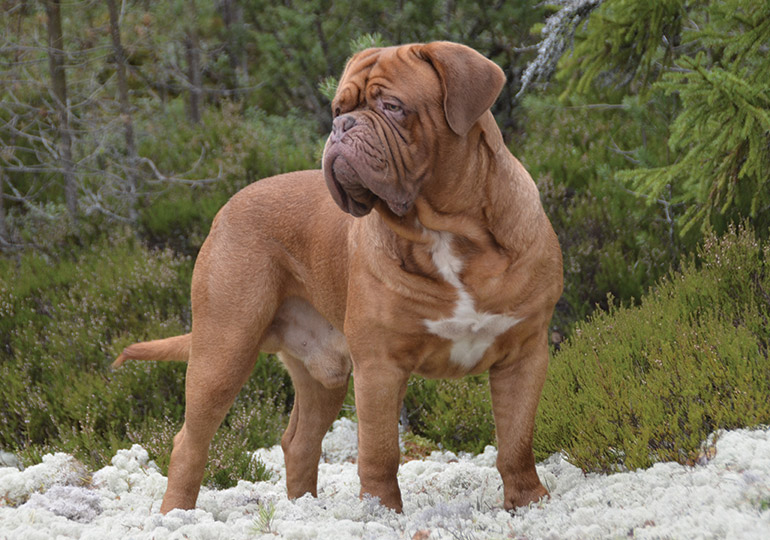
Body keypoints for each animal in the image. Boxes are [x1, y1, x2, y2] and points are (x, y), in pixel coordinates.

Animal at [114, 40, 560, 512]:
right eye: (338, 108)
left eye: (393, 106)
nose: (341, 126)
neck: (449, 234)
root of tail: (226, 208)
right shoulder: (379, 365)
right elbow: (380, 450)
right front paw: (380, 511)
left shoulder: (525, 354)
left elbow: (516, 440)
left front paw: (529, 501)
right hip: (223, 350)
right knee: (190, 441)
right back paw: (176, 513)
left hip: (321, 373)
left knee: (299, 441)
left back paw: (304, 509)